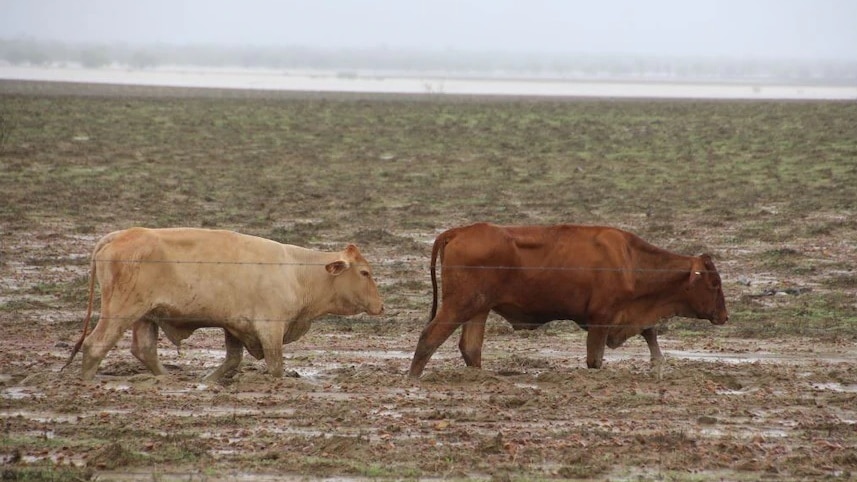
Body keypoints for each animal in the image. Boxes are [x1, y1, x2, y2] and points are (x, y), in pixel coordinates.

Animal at [66, 228, 384, 382]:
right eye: (364, 272)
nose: (381, 306)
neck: (297, 272)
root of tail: (121, 234)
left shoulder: (234, 326)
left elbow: (232, 360)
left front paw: (208, 380)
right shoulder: (269, 328)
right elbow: (275, 365)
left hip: (146, 315)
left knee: (144, 349)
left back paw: (166, 380)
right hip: (121, 310)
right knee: (95, 345)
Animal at [410, 224, 728, 378]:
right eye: (714, 283)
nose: (724, 316)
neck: (629, 259)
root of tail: (458, 231)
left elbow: (650, 334)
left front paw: (658, 366)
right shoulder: (601, 320)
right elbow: (595, 359)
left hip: (479, 308)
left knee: (471, 348)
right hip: (460, 304)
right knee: (428, 338)